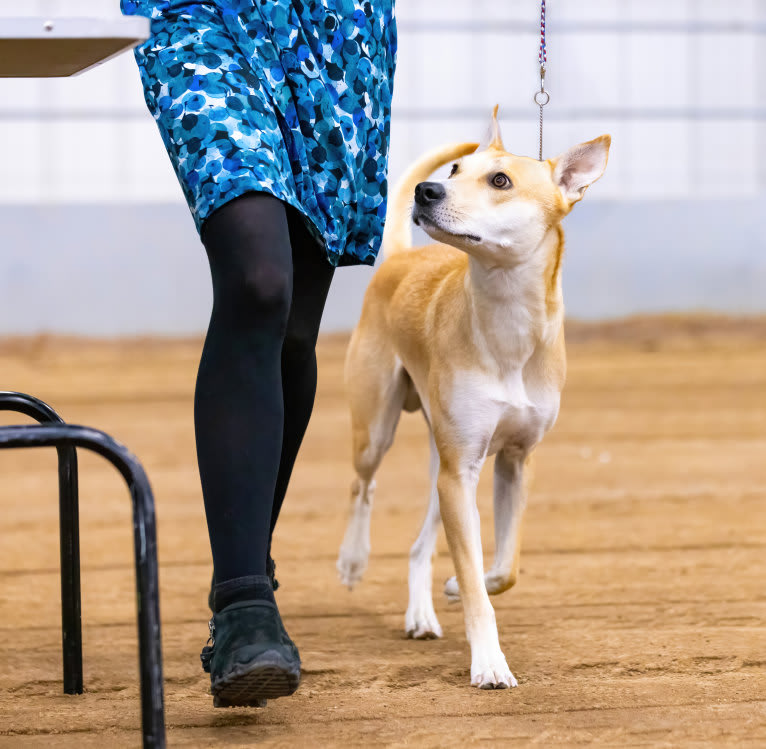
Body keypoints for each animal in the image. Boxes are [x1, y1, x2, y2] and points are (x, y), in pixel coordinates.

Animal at [338, 108, 612, 688]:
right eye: (455, 169)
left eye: (500, 181)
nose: (426, 190)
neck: (506, 323)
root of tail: (400, 259)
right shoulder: (459, 471)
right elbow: (476, 587)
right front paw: (489, 663)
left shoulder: (513, 461)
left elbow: (503, 569)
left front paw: (458, 586)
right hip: (379, 428)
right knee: (362, 485)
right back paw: (352, 562)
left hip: (447, 465)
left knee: (419, 546)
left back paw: (421, 613)